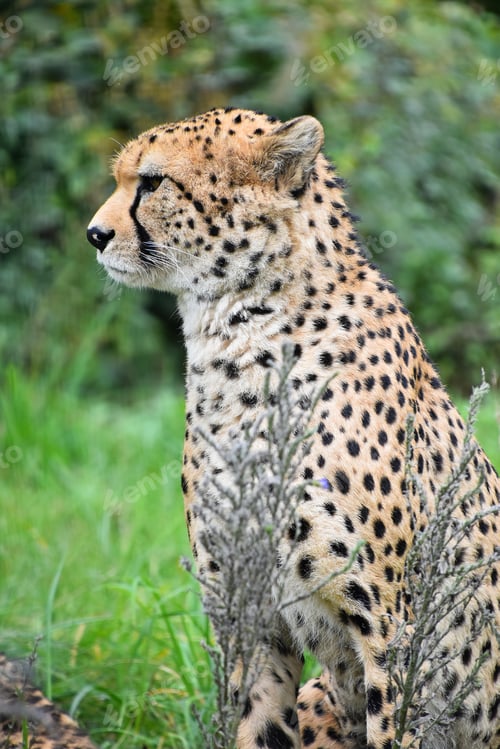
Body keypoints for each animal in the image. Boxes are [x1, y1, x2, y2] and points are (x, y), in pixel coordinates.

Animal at [87, 107, 500, 749]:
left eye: (152, 182)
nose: (95, 234)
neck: (238, 338)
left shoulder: (394, 631)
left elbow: (393, 725)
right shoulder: (247, 610)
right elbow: (254, 724)